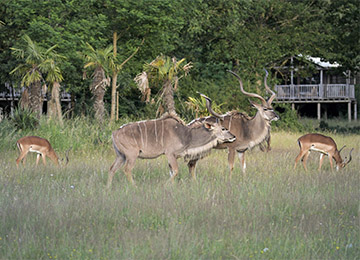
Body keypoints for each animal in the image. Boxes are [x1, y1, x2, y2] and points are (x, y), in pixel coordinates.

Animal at [107, 113, 236, 187]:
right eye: (223, 128)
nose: (233, 136)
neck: (185, 135)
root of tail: (114, 133)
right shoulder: (169, 154)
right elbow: (175, 171)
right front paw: (165, 186)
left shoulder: (172, 157)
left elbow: (172, 172)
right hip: (131, 155)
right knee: (127, 169)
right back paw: (134, 187)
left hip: (121, 156)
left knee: (112, 169)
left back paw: (108, 189)